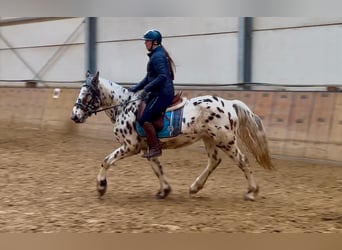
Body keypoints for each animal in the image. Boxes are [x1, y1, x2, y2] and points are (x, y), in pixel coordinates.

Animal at [71, 71, 274, 200]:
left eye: (87, 94)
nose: (74, 116)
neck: (124, 106)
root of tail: (230, 103)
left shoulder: (130, 147)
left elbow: (106, 161)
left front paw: (101, 186)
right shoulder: (148, 147)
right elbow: (157, 168)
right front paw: (164, 191)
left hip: (225, 141)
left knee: (243, 161)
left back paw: (251, 192)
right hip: (209, 138)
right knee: (214, 161)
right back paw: (195, 187)